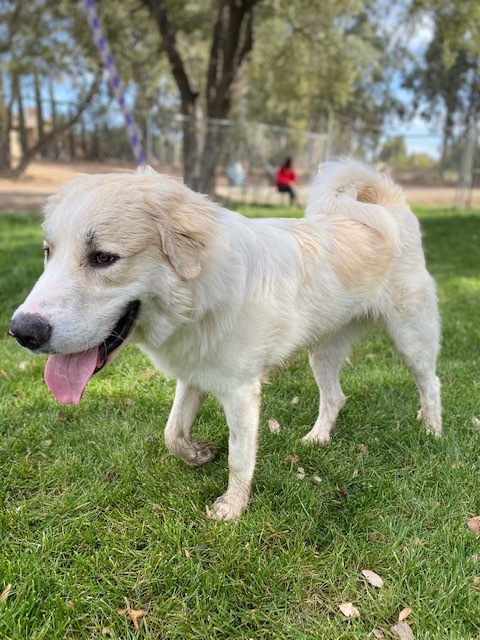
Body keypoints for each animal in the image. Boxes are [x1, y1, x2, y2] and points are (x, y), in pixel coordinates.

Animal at [8, 159, 442, 520]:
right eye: (48, 252)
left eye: (103, 258)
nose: (21, 332)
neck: (204, 292)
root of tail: (389, 207)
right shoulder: (193, 375)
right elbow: (172, 433)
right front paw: (198, 455)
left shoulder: (241, 393)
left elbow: (239, 458)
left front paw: (231, 510)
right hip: (323, 353)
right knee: (335, 397)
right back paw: (317, 438)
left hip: (410, 338)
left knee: (430, 383)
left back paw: (433, 432)